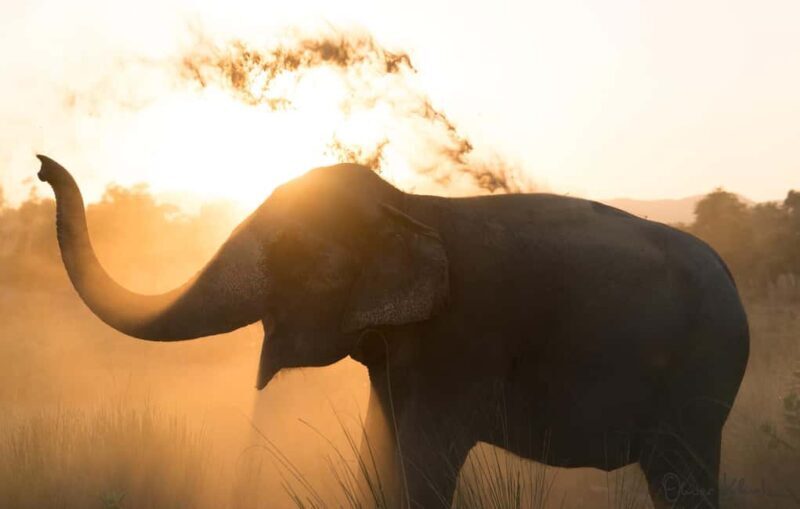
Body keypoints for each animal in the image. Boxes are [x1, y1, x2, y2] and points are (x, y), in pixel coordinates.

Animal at [37, 154, 749, 508]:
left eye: (289, 252)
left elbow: (421, 461)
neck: (405, 206)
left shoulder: (459, 342)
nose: (43, 167)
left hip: (698, 380)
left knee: (679, 475)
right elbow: (379, 450)